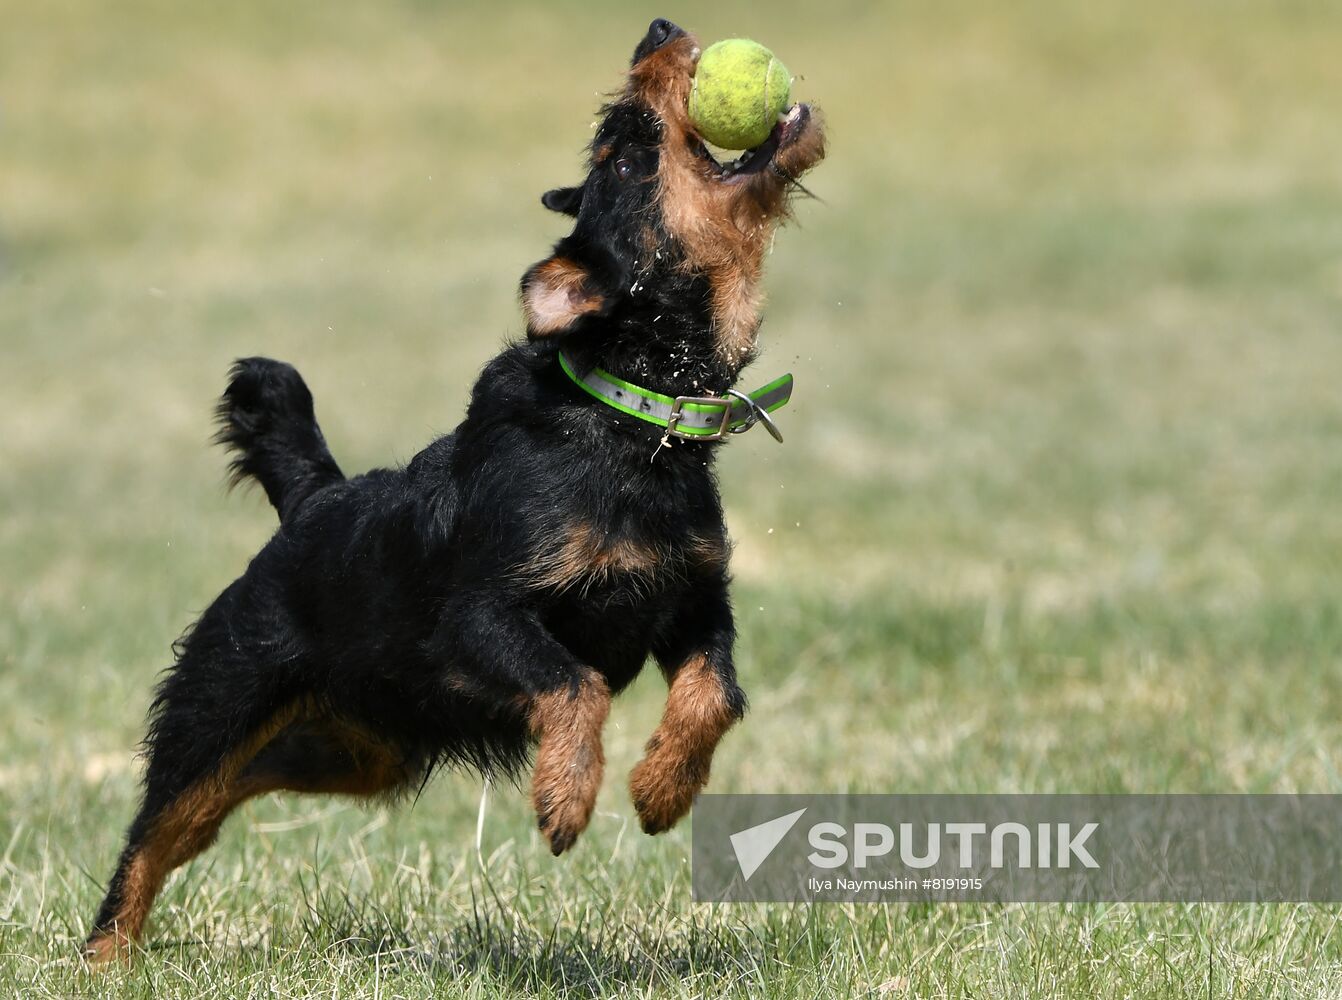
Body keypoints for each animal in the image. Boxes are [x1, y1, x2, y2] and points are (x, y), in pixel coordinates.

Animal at [83, 19, 821, 961]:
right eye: (625, 155)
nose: (658, 30)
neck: (631, 413)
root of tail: (313, 503)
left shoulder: (692, 597)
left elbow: (714, 694)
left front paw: (662, 789)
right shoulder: (478, 617)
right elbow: (574, 682)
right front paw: (566, 798)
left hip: (359, 747)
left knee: (217, 804)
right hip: (222, 702)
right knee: (153, 828)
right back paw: (104, 954)